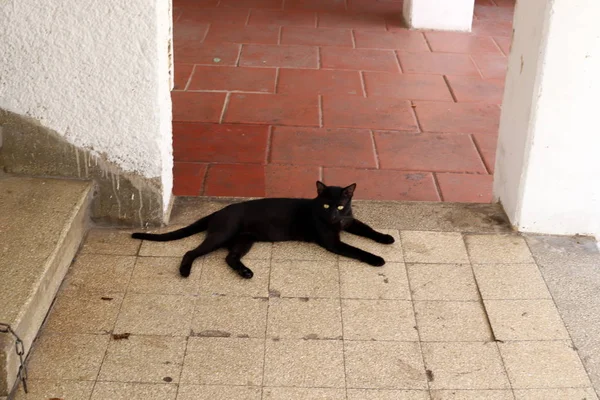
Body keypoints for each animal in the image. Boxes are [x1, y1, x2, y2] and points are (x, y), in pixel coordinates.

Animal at [131, 181, 394, 278]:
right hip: (223, 235)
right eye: (326, 205)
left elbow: (369, 229)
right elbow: (358, 250)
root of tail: (218, 212)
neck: (337, 222)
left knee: (230, 257)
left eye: (340, 205)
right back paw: (185, 271)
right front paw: (377, 259)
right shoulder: (332, 241)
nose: (332, 216)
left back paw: (246, 272)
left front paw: (387, 238)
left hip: (244, 240)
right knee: (191, 252)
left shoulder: (350, 221)